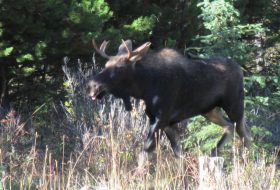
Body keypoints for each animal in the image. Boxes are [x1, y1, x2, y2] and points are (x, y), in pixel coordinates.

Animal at [86, 39, 252, 157]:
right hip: (210, 110)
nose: (93, 86)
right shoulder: (165, 122)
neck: (144, 87)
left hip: (234, 105)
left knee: (245, 134)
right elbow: (178, 153)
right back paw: (214, 153)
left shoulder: (162, 118)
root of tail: (240, 69)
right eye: (106, 64)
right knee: (230, 126)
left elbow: (146, 151)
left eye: (119, 68)